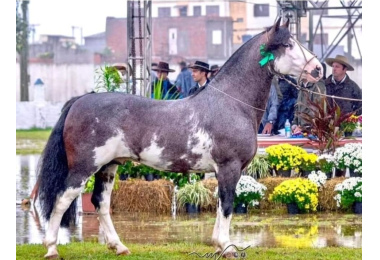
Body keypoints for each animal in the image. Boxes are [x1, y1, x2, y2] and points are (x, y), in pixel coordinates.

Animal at [35, 17, 322, 258]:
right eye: (288, 44)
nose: (318, 68)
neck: (232, 103)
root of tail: (80, 100)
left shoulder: (222, 171)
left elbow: (220, 204)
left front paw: (218, 244)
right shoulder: (229, 167)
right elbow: (228, 205)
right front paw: (228, 247)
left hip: (108, 166)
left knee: (100, 203)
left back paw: (119, 246)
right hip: (84, 168)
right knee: (61, 200)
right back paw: (51, 249)